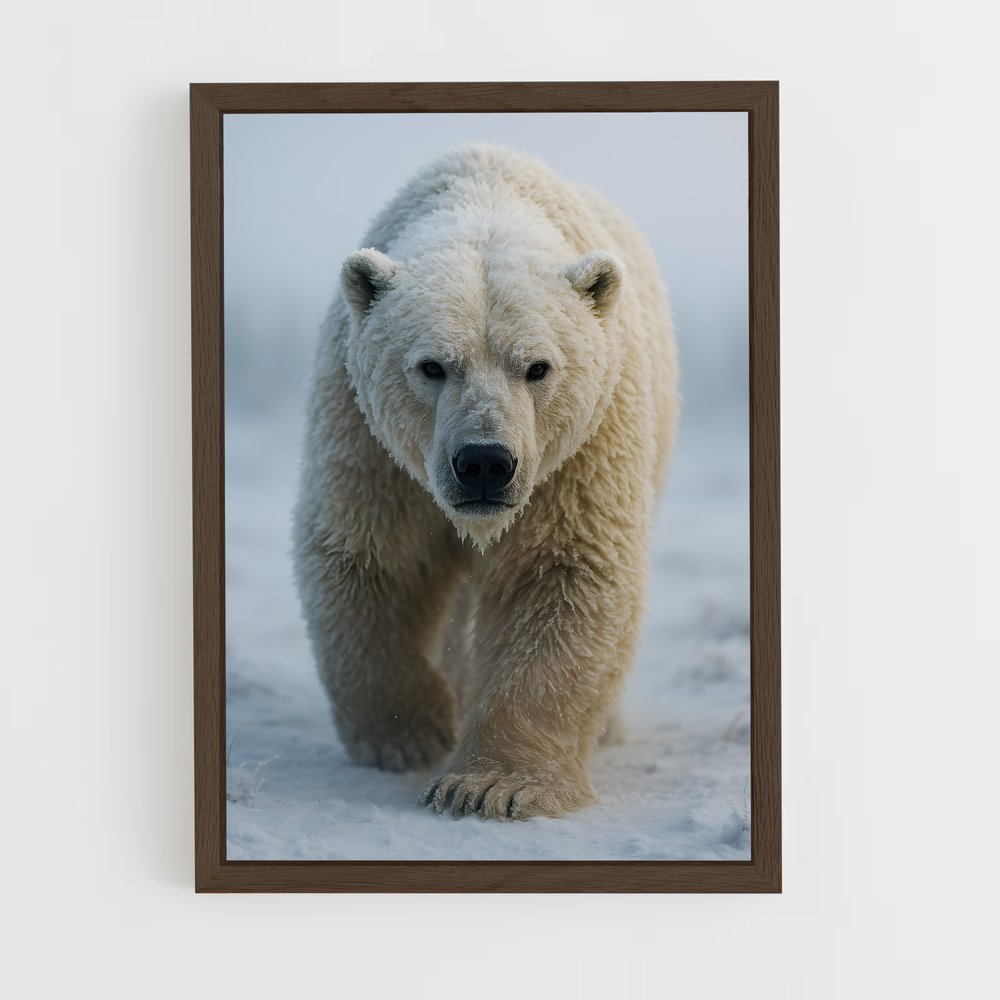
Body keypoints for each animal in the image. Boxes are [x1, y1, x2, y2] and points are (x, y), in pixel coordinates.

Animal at [293, 142, 679, 820]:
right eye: (432, 366)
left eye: (538, 367)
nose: (483, 463)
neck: (486, 196)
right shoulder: (372, 444)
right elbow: (375, 555)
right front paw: (411, 732)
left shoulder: (580, 451)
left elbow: (561, 572)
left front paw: (489, 786)